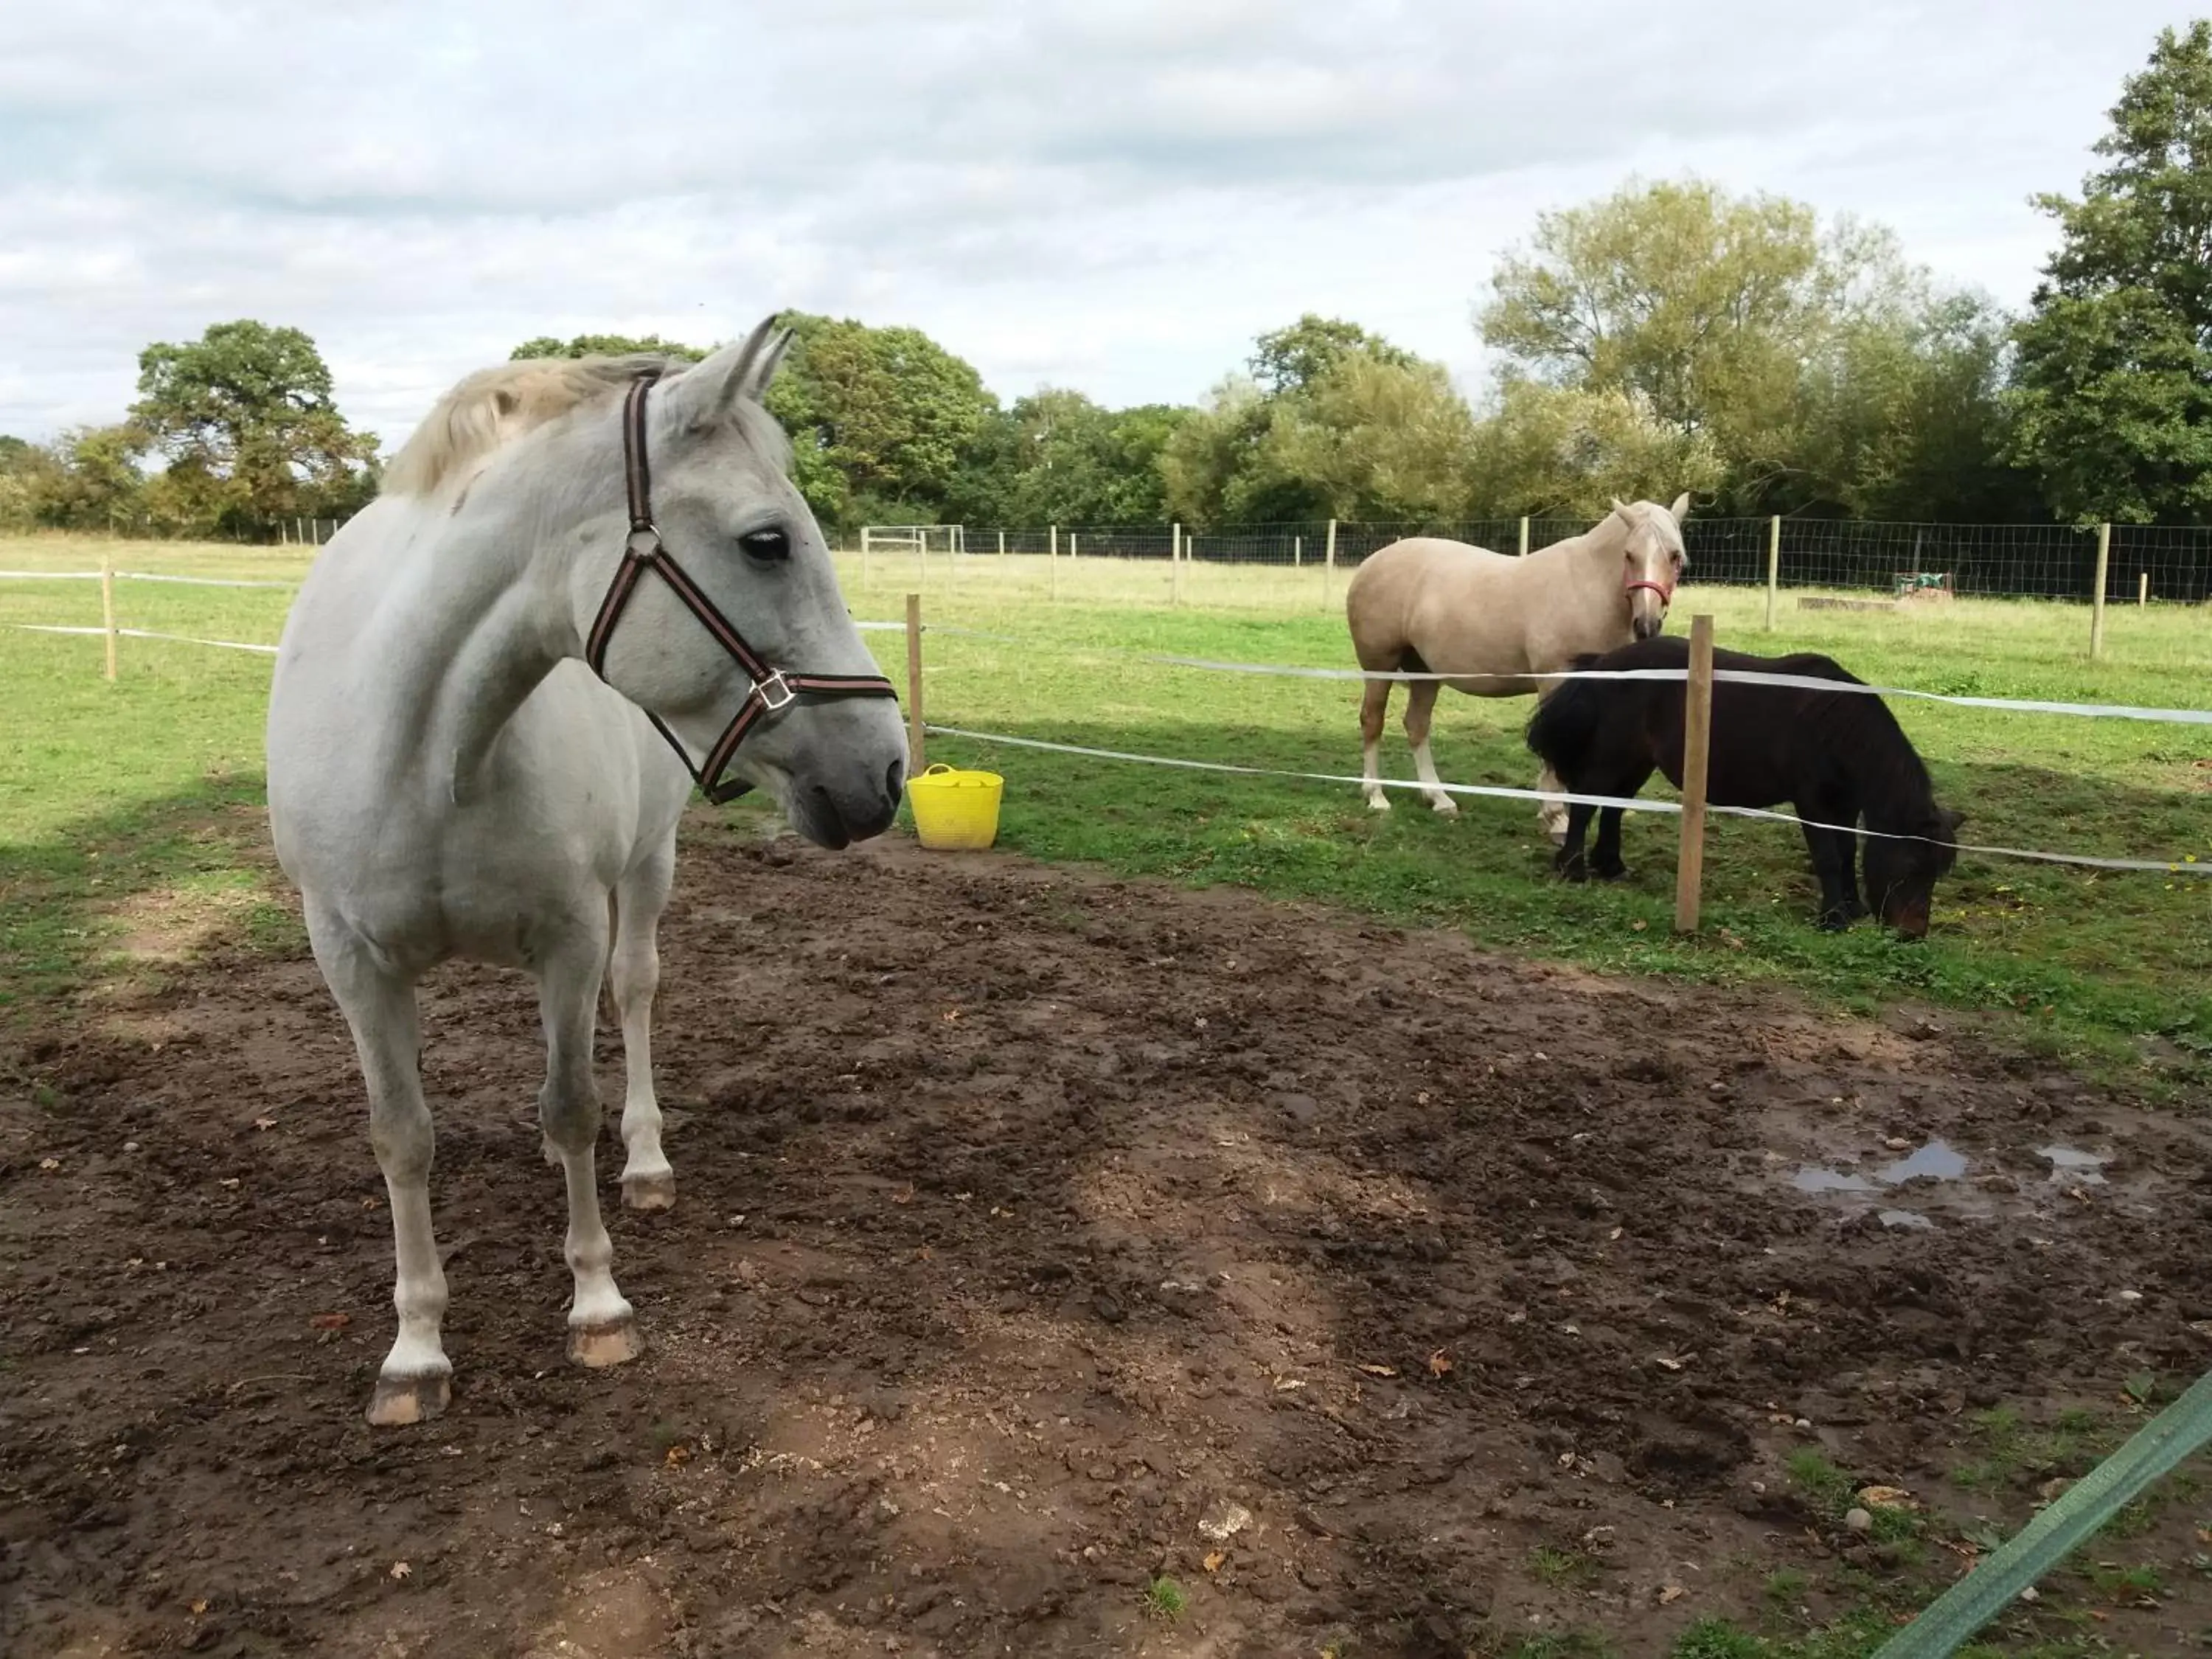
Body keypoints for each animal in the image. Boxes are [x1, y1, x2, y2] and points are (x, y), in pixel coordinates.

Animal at [265, 325, 907, 1433]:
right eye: (767, 541)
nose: (887, 769)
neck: (425, 747)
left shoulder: (568, 938)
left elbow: (570, 1104)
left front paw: (597, 1302)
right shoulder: (352, 961)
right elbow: (402, 1137)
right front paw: (415, 1350)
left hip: (647, 868)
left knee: (635, 995)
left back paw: (642, 1159)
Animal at [1336, 491, 1681, 832]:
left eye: (1675, 556)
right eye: (1629, 555)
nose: (1647, 624)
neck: (1589, 588)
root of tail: (1372, 563)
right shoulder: (1555, 679)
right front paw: (1555, 816)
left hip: (1424, 672)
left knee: (1416, 725)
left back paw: (1439, 799)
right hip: (1379, 666)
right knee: (1373, 721)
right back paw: (1376, 796)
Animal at [1522, 637, 1973, 942]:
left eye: (1937, 873)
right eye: (1910, 866)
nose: (1912, 934)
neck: (1835, 724)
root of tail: (1604, 663)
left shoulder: (1843, 806)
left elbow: (1847, 854)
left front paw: (1852, 907)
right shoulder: (1812, 802)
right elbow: (1828, 858)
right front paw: (1833, 917)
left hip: (1638, 762)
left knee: (1613, 807)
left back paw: (1611, 865)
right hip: (1613, 757)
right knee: (1586, 806)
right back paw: (1573, 868)